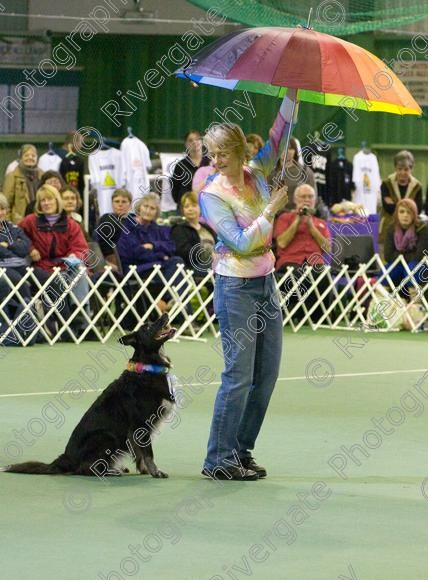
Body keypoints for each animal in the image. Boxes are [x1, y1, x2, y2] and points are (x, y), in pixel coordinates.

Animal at [2, 314, 176, 478]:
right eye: (148, 327)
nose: (165, 314)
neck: (148, 367)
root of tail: (66, 458)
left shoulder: (137, 431)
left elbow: (140, 454)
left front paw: (145, 470)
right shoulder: (141, 424)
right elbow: (148, 453)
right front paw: (156, 472)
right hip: (106, 437)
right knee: (84, 469)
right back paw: (111, 472)